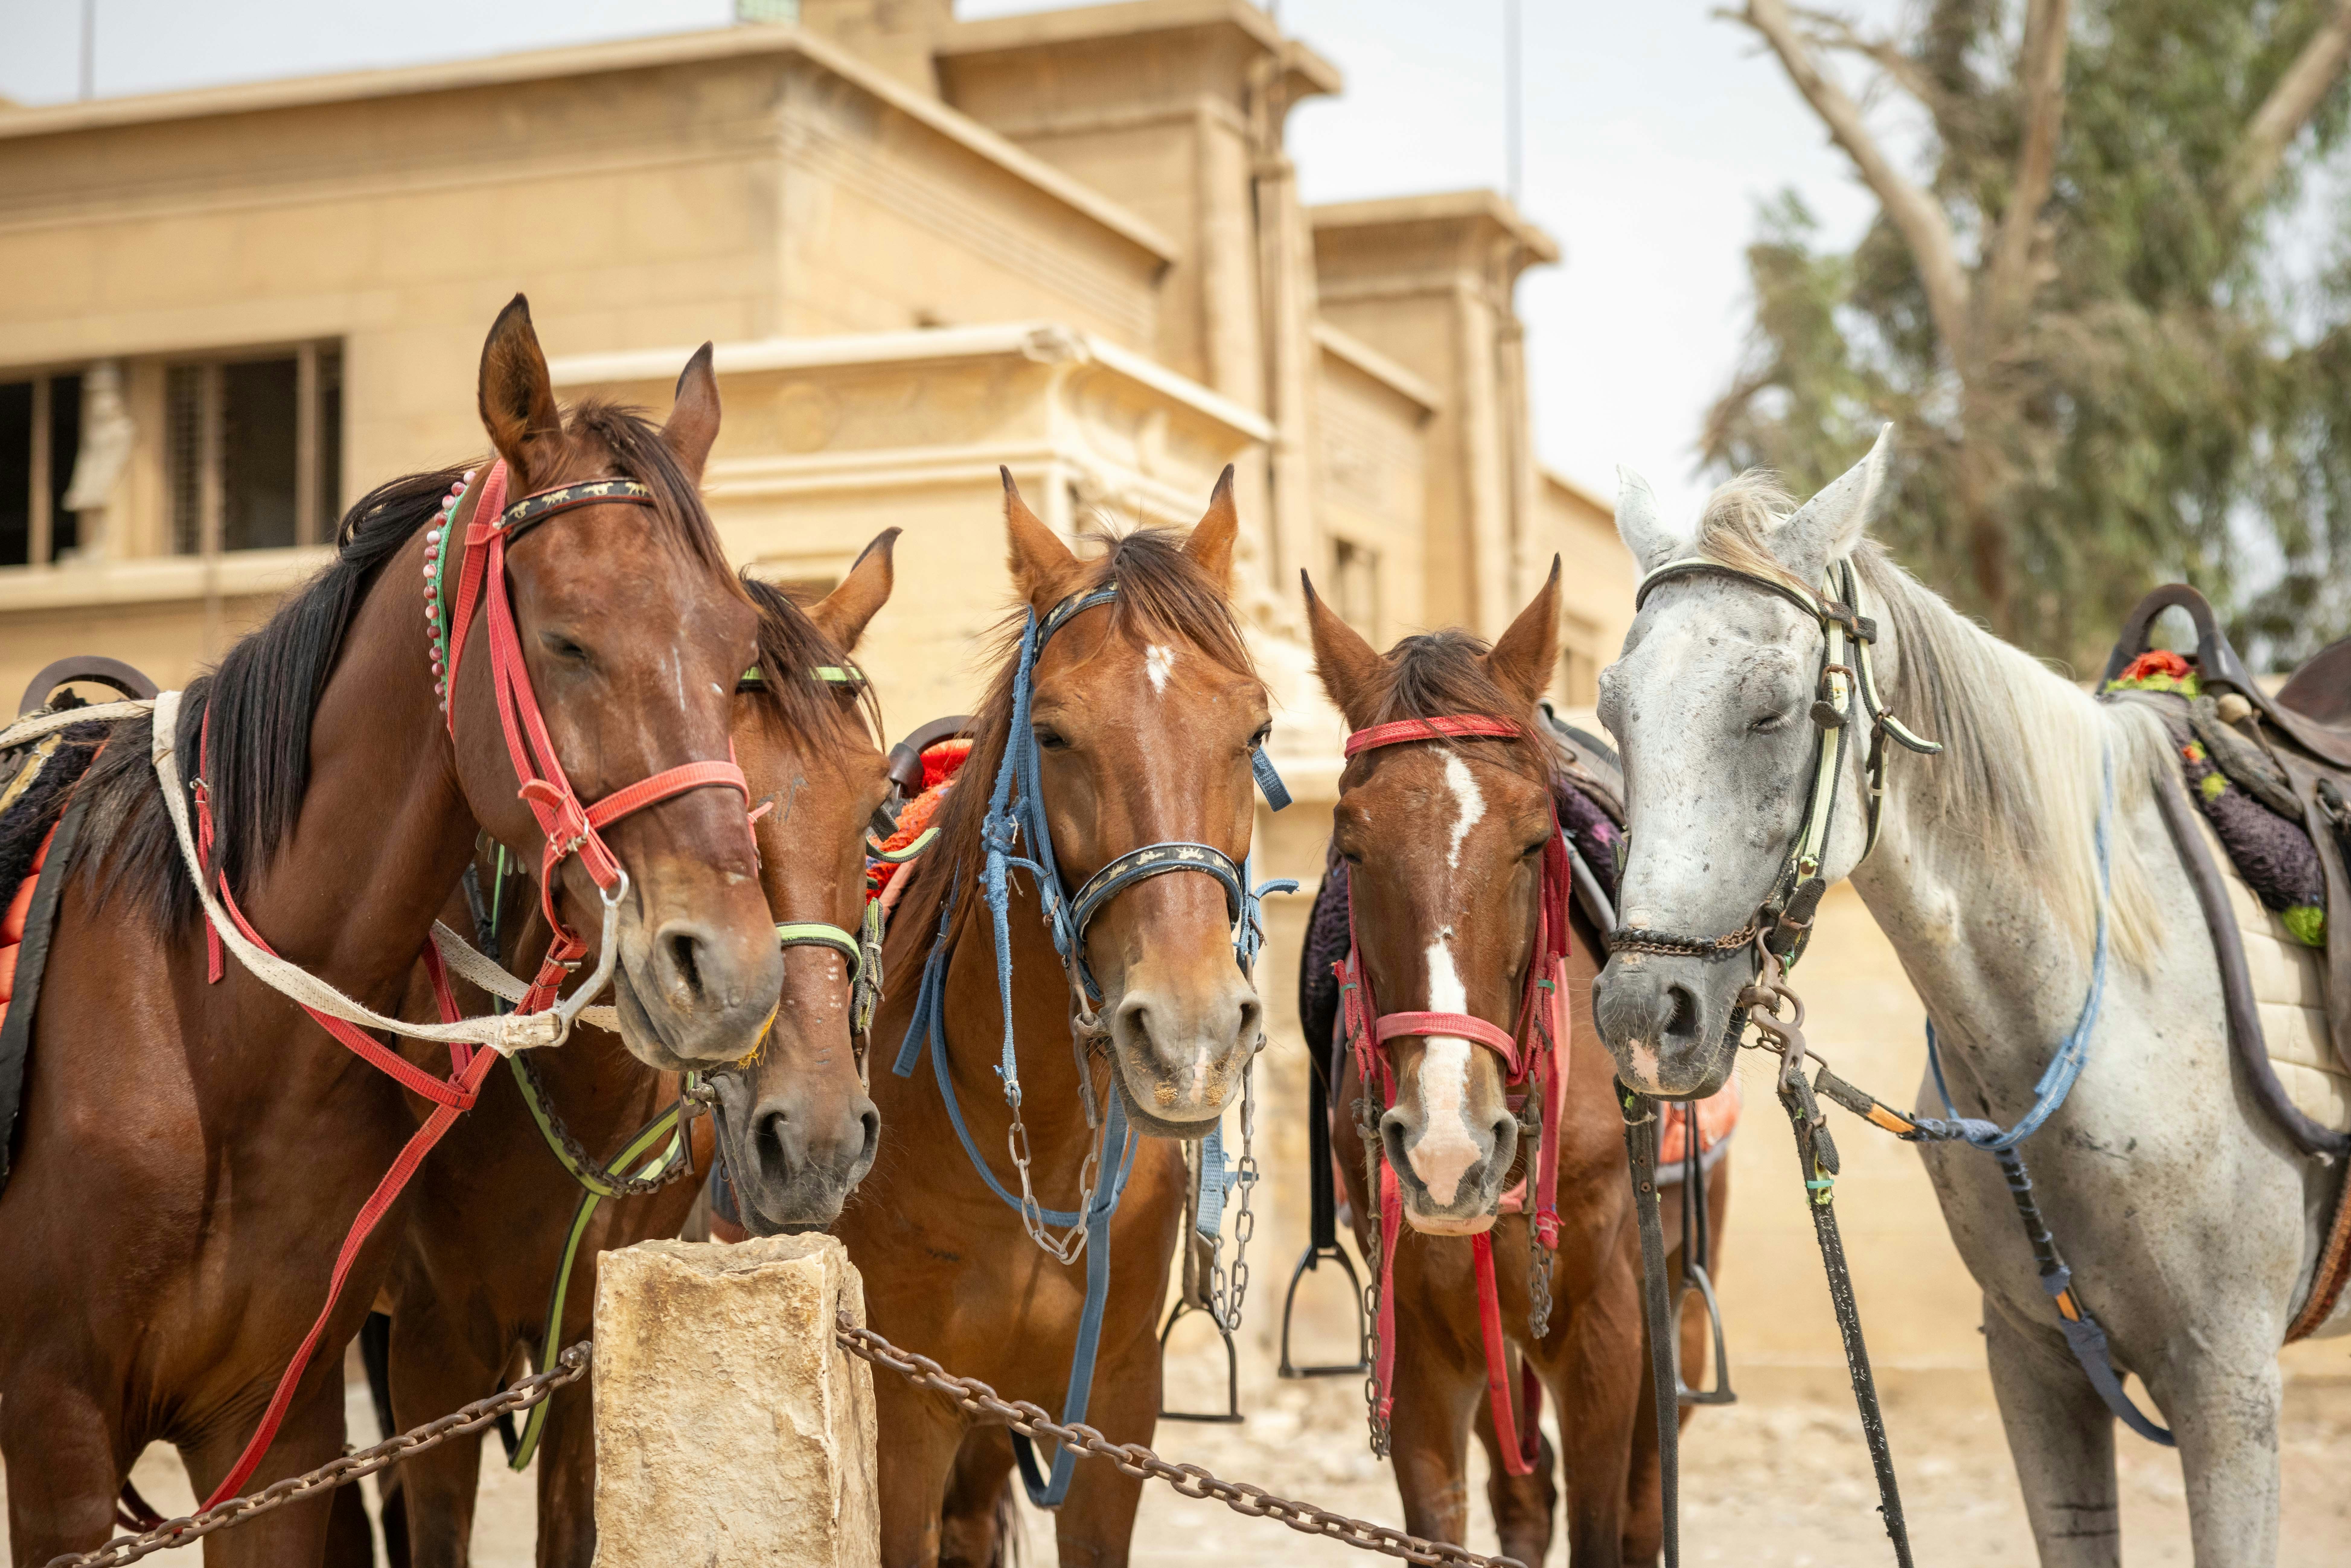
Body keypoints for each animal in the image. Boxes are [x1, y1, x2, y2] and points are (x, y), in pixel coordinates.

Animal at [0, 297, 783, 1568]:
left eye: (735, 653)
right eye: (566, 640)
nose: (729, 973)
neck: (207, 1043)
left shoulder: (277, 1434)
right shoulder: (57, 1439)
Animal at [1301, 568, 1729, 1566]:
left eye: (1535, 841)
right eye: (1351, 845)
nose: (1446, 1150)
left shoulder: (1607, 1337)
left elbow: (1610, 1529)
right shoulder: (1421, 1344)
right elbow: (1444, 1525)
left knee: (1645, 1505)